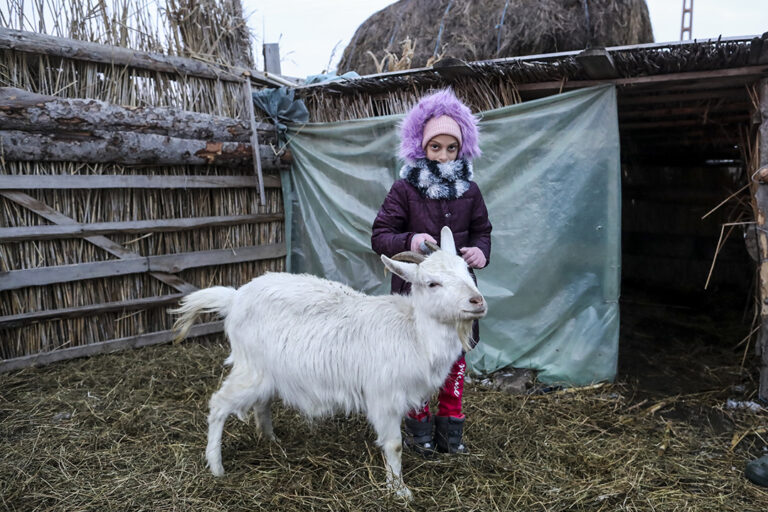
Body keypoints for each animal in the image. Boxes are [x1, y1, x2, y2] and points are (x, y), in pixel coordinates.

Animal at [173, 226, 486, 498]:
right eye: (432, 283)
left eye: (466, 270)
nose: (477, 301)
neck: (414, 332)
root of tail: (235, 298)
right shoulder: (383, 397)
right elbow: (394, 446)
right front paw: (399, 491)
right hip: (251, 369)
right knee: (219, 404)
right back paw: (216, 466)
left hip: (269, 372)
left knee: (261, 403)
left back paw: (270, 439)